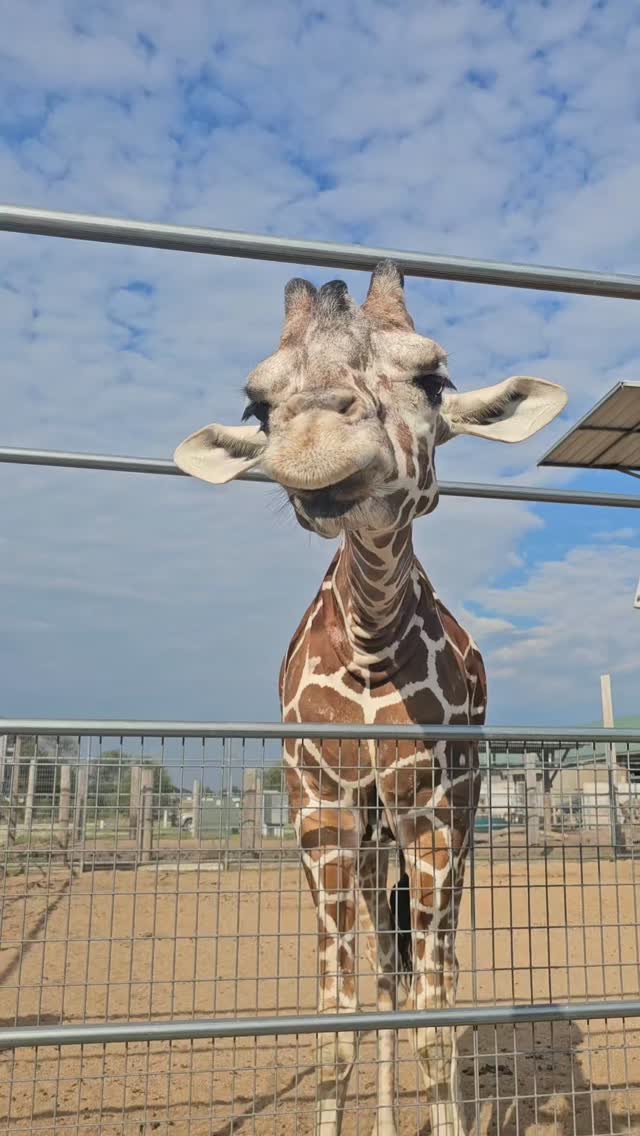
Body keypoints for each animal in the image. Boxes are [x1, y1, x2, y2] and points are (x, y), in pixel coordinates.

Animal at [174, 262, 567, 1136]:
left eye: (434, 379)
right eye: (258, 406)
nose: (317, 444)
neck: (370, 645)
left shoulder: (433, 807)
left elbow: (436, 1017)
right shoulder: (319, 805)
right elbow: (337, 1021)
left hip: (450, 823)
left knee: (427, 970)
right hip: (373, 836)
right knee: (387, 973)